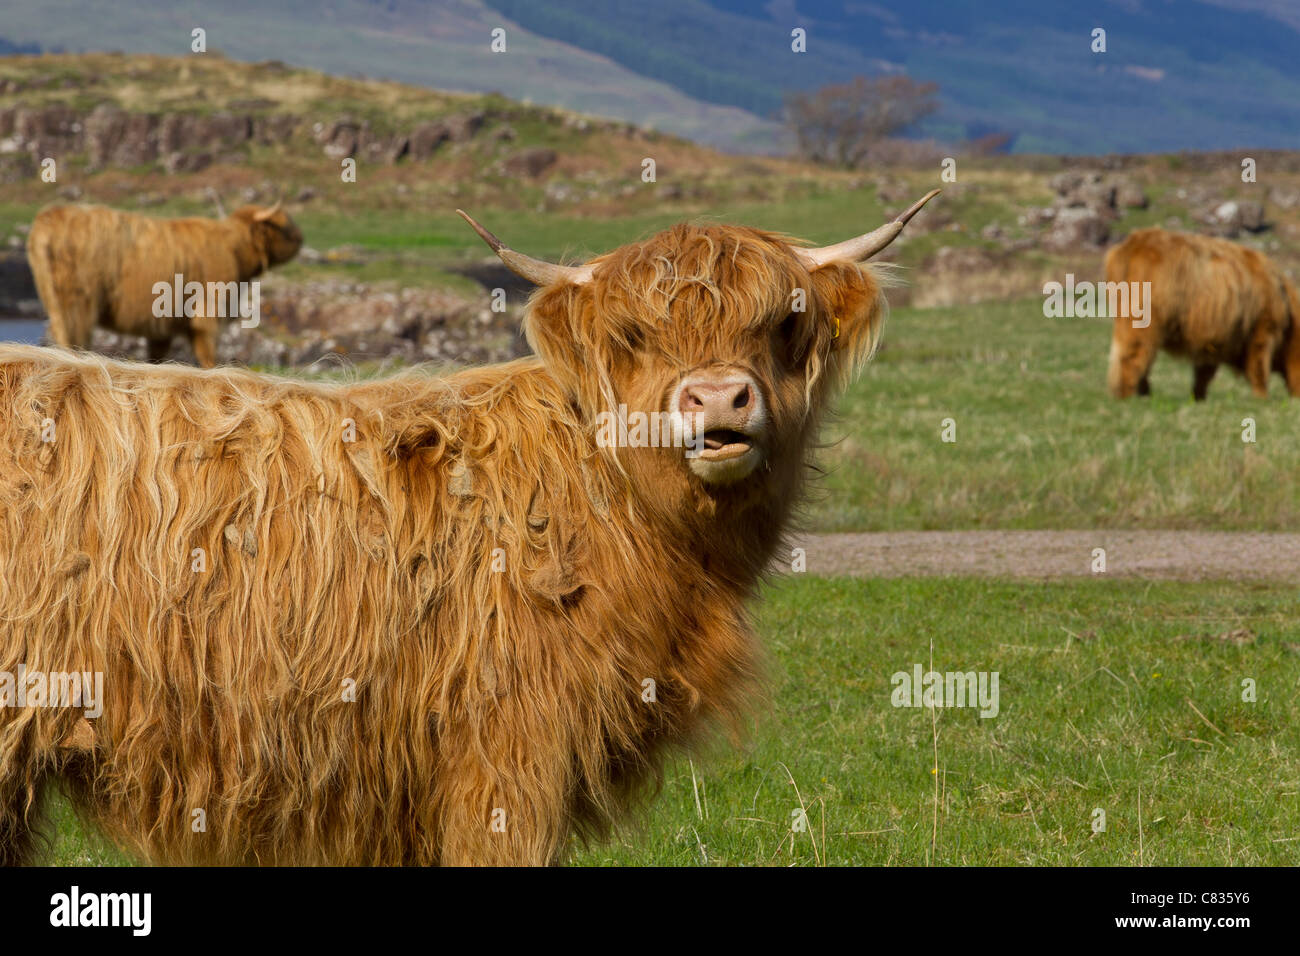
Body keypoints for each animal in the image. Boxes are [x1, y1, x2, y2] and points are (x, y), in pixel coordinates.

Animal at [26, 201, 301, 366]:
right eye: (286, 227)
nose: (301, 239)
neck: (235, 250)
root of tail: (49, 217)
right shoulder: (208, 310)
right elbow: (207, 353)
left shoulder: (162, 325)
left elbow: (157, 357)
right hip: (77, 301)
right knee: (73, 339)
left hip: (53, 299)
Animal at [1107, 226, 1300, 398]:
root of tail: (1134, 243)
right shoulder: (1262, 329)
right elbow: (1258, 368)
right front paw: (1261, 397)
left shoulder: (1213, 338)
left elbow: (1204, 373)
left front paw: (1198, 397)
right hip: (1145, 319)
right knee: (1133, 355)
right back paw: (1129, 396)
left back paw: (1143, 393)